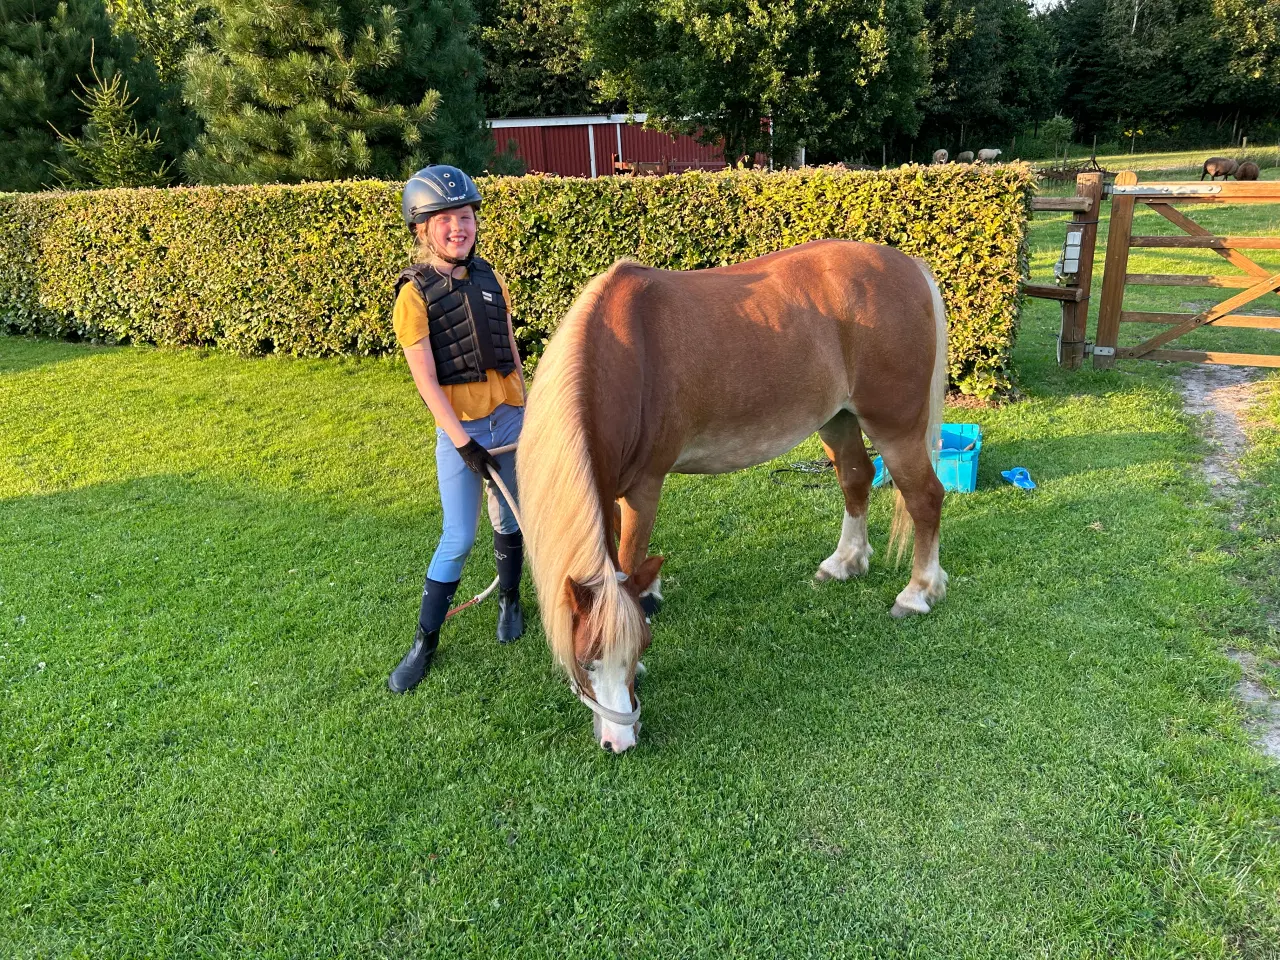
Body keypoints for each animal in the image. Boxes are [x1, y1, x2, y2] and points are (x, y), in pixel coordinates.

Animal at [515, 239, 949, 753]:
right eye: (585, 661)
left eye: (639, 648)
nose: (620, 743)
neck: (625, 361)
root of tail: (908, 266)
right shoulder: (611, 491)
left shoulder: (644, 488)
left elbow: (627, 560)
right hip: (838, 418)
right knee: (856, 479)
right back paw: (845, 562)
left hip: (895, 427)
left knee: (925, 498)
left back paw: (918, 592)